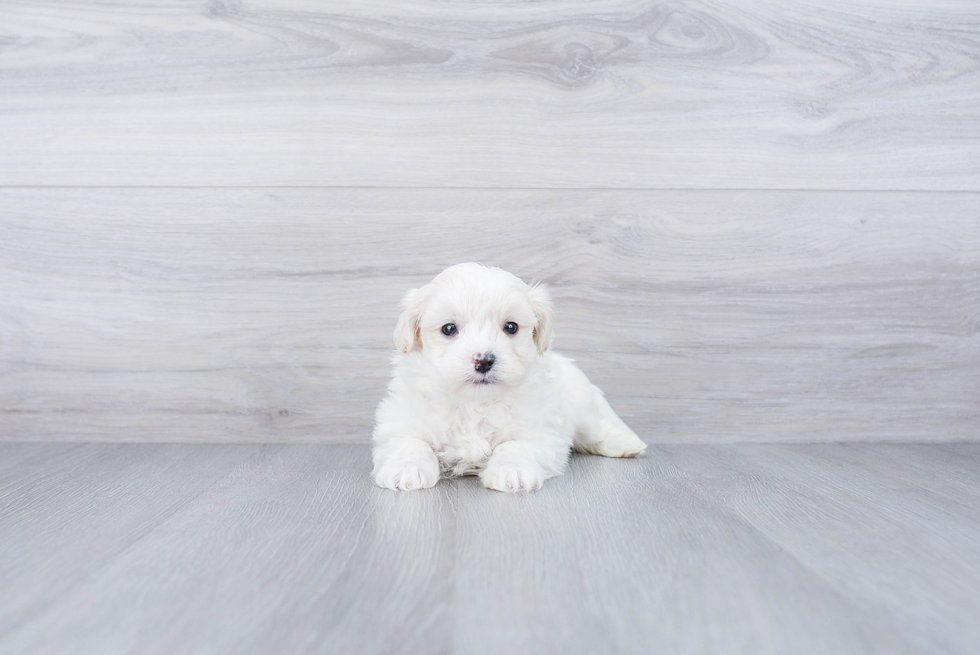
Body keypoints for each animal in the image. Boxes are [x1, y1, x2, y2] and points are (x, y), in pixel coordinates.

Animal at [372, 262, 648, 492]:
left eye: (511, 327)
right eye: (448, 328)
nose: (484, 360)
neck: (474, 403)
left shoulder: (540, 428)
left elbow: (514, 444)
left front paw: (512, 472)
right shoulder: (401, 419)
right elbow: (410, 442)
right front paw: (406, 469)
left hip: (582, 402)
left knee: (599, 424)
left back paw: (625, 444)